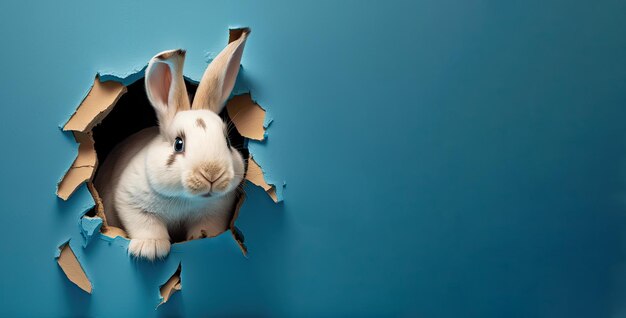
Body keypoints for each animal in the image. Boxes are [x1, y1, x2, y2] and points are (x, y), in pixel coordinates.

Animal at [92, 29, 249, 260]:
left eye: (228, 141)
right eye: (178, 144)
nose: (212, 174)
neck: (185, 199)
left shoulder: (215, 211)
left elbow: (206, 226)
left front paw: (203, 238)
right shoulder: (131, 203)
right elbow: (148, 226)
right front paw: (150, 249)